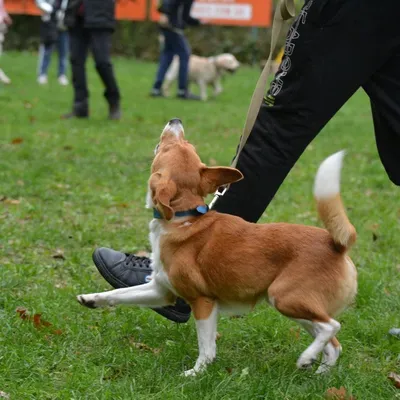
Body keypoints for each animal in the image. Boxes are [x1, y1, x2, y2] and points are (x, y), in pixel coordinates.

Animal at [76, 120, 358, 376]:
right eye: (182, 145)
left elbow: (207, 348)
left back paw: (306, 358)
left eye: (172, 147)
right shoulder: (161, 291)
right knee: (333, 344)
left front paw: (196, 374)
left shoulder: (203, 302)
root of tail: (336, 244)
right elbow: (120, 293)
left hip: (285, 297)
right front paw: (91, 299)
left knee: (331, 327)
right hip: (295, 307)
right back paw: (317, 373)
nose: (176, 121)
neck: (184, 217)